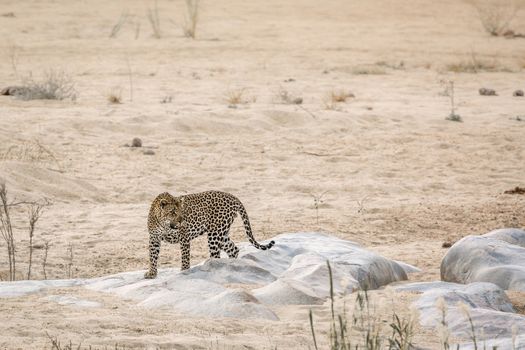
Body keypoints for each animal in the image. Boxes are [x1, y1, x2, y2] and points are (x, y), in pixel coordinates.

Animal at [143, 190, 274, 278]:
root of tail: (233, 197)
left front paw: (184, 271)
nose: (182, 220)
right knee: (233, 249)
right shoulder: (154, 238)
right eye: (173, 212)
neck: (164, 223)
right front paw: (152, 273)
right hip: (221, 233)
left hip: (215, 233)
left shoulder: (184, 236)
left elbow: (185, 256)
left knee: (216, 255)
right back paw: (231, 265)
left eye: (182, 211)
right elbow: (152, 256)